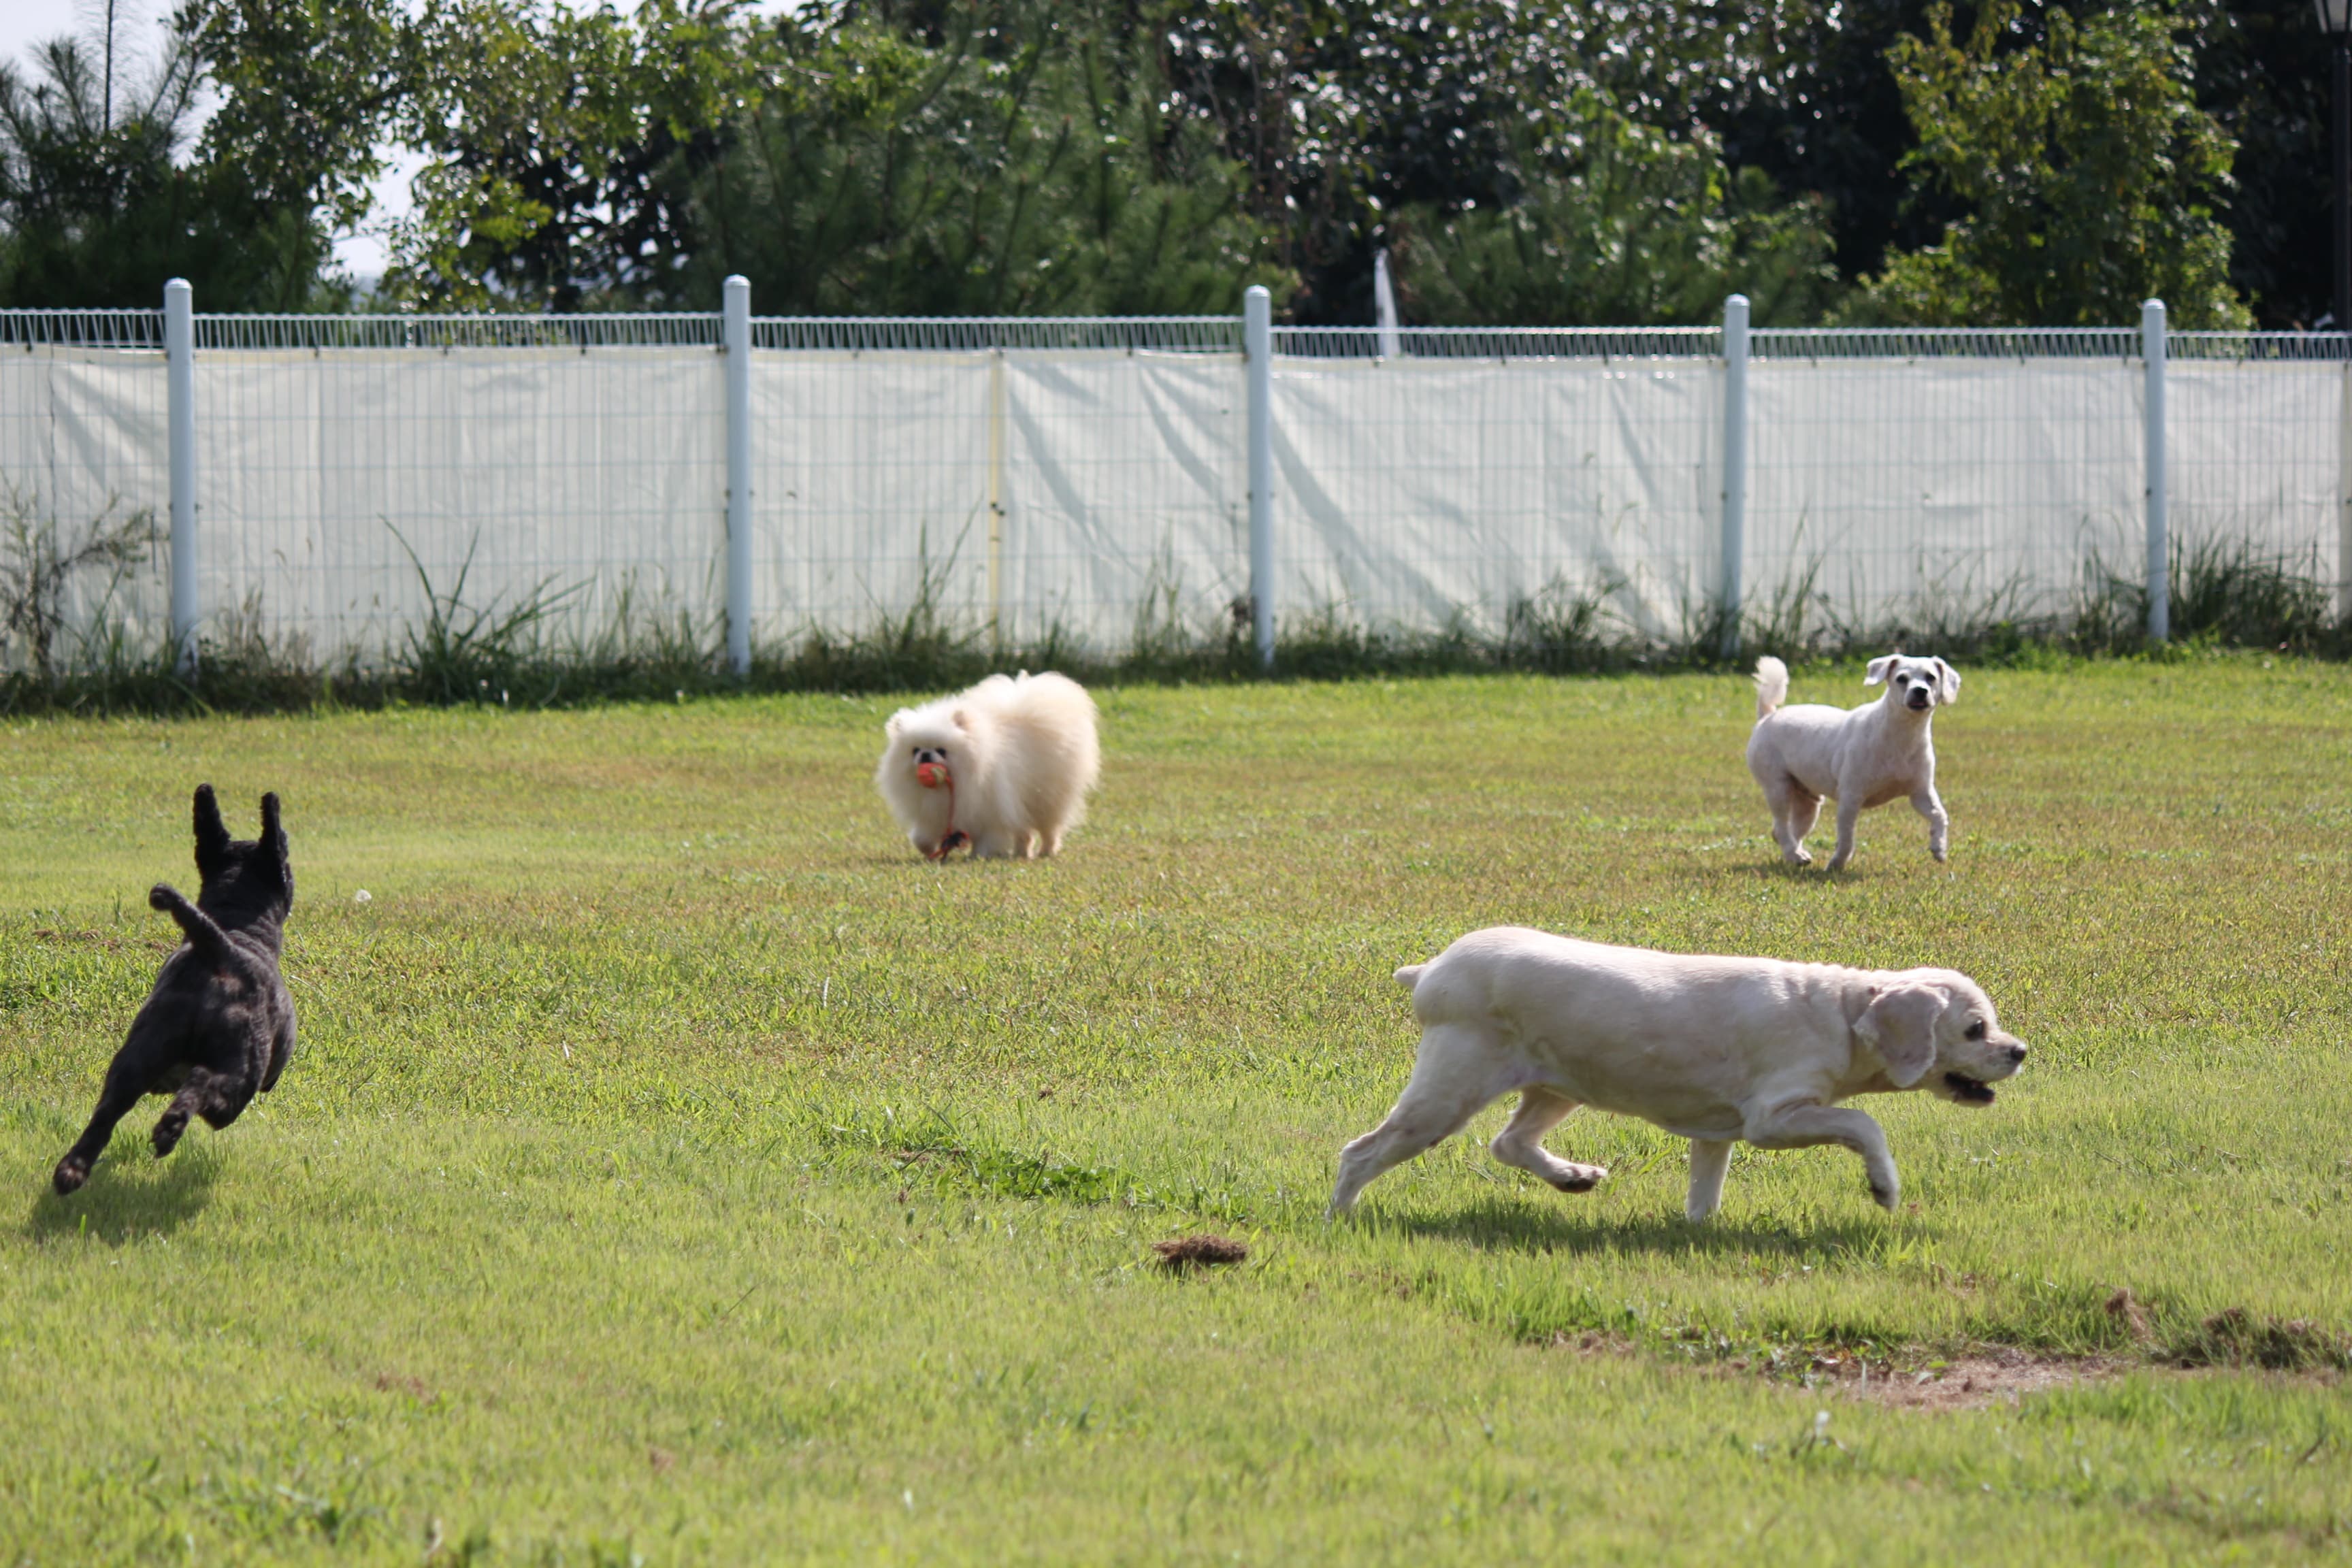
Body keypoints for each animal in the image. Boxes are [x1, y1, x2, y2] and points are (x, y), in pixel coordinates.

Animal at [52, 789, 294, 1194]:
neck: (236, 928)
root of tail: (218, 950)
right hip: (239, 1076)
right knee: (201, 1082)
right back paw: (170, 1128)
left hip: (137, 1056)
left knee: (105, 1115)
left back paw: (73, 1170)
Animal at [879, 672, 1105, 860]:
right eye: (915, 750)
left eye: (942, 751)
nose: (926, 755)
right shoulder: (933, 815)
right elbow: (922, 838)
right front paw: (929, 852)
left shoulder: (990, 812)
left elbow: (988, 838)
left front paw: (979, 856)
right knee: (1025, 833)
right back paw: (1022, 853)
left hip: (1046, 801)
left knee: (1049, 829)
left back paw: (1046, 851)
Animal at [1336, 930, 2031, 1222]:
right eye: (1975, 1029)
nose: (2020, 1052)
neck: (1838, 1012)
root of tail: (1430, 970)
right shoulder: (1774, 1120)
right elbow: (1864, 1123)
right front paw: (1884, 1188)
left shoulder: (1715, 1136)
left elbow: (1703, 1199)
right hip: (1447, 1094)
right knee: (1359, 1153)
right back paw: (1339, 1218)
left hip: (1557, 1087)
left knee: (1509, 1143)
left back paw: (1572, 1178)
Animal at [1759, 649, 1957, 870]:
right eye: (1901, 678)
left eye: (1931, 677)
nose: (1921, 691)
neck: (1900, 736)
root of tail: (1767, 717)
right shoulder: (1850, 798)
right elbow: (1846, 839)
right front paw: (1836, 864)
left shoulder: (1921, 792)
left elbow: (1940, 815)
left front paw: (1939, 848)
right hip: (1778, 788)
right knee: (1782, 826)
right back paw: (1795, 855)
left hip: (1808, 803)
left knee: (1783, 831)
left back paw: (1797, 853)